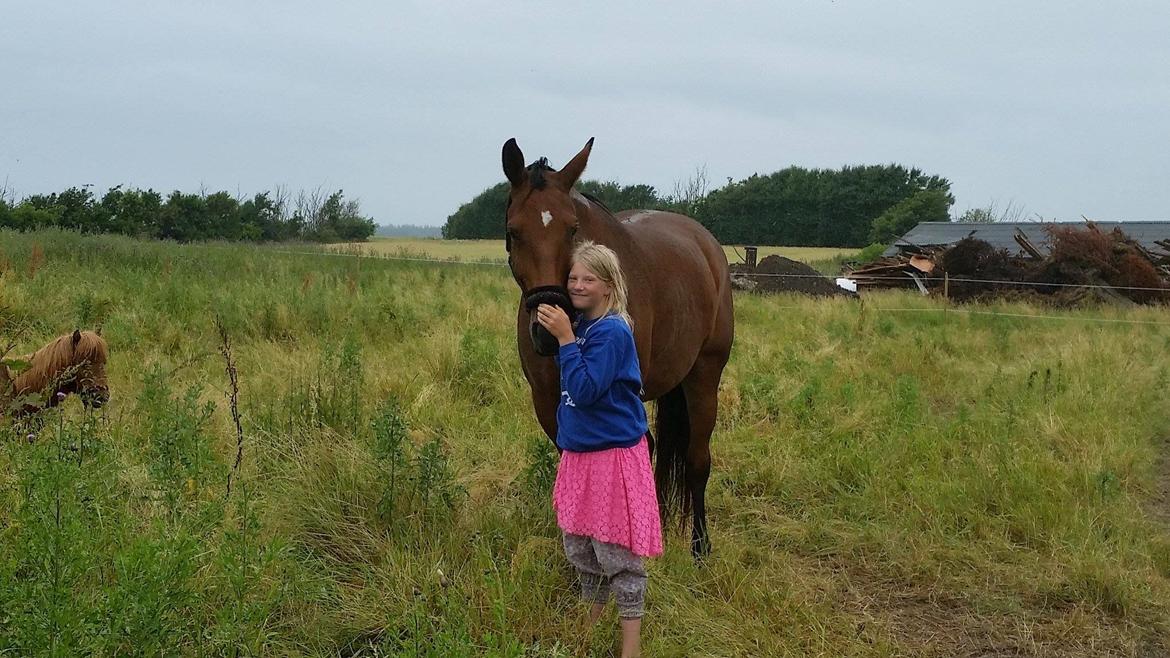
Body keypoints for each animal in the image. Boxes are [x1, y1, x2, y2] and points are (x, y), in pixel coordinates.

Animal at [500, 136, 730, 552]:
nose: (548, 330)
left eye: (572, 229)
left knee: (696, 460)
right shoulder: (548, 401)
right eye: (514, 230)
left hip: (704, 375)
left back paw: (699, 547)